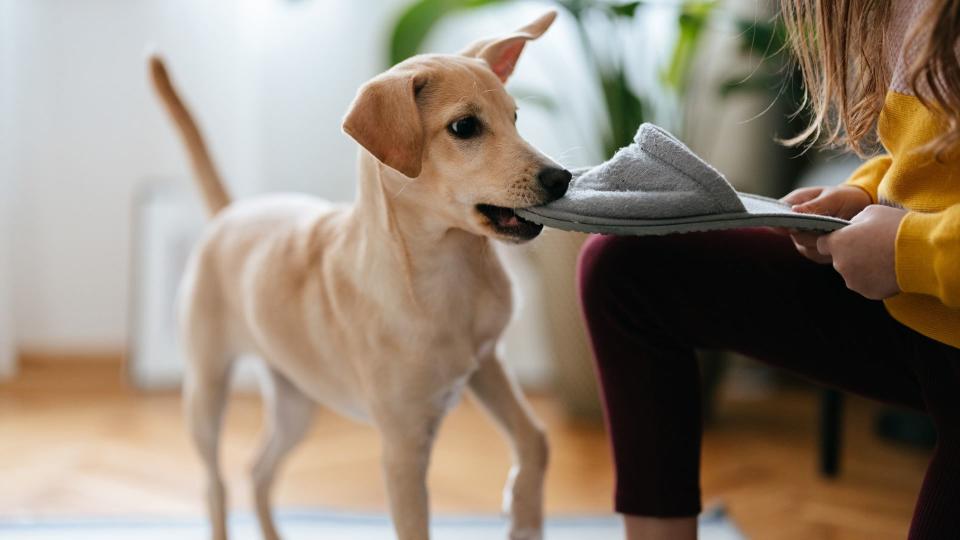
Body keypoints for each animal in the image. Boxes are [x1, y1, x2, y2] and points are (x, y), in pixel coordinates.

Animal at [150, 11, 568, 540]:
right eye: (465, 126)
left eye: (516, 118)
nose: (562, 179)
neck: (446, 274)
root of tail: (231, 212)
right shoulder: (402, 446)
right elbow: (415, 525)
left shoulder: (487, 364)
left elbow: (536, 439)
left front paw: (523, 511)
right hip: (206, 390)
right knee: (215, 486)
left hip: (295, 401)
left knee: (258, 471)